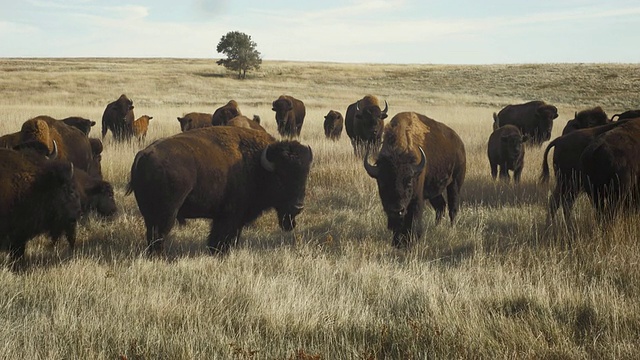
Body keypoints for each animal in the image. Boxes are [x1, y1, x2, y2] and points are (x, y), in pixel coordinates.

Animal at [126, 125, 314, 255]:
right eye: (280, 178)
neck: (257, 165)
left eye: (304, 176)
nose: (298, 207)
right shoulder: (230, 216)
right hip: (167, 213)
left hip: (149, 213)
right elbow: (222, 239)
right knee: (159, 235)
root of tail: (144, 154)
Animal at [364, 112, 464, 248]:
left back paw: (451, 228)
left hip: (455, 183)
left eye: (409, 181)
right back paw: (436, 227)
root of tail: (459, 143)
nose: (397, 210)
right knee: (440, 206)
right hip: (435, 191)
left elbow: (413, 220)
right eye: (382, 183)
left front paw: (413, 241)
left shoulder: (416, 199)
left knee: (453, 207)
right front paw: (396, 243)